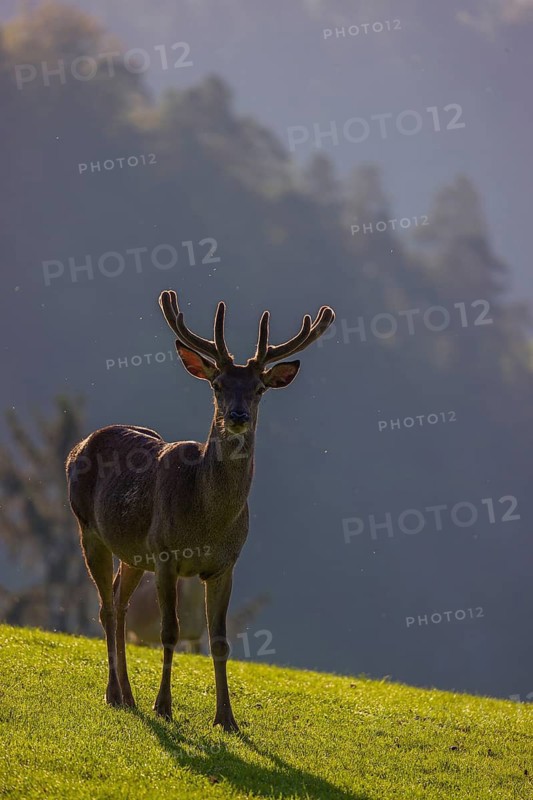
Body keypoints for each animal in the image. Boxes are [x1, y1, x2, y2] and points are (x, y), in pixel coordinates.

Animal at [66, 290, 334, 732]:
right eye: (218, 384)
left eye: (259, 388)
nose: (237, 416)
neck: (208, 522)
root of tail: (79, 445)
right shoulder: (165, 554)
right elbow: (170, 632)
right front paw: (164, 706)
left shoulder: (225, 565)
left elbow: (219, 640)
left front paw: (227, 718)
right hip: (88, 529)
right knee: (105, 609)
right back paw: (114, 694)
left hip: (133, 553)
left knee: (120, 606)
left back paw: (127, 695)